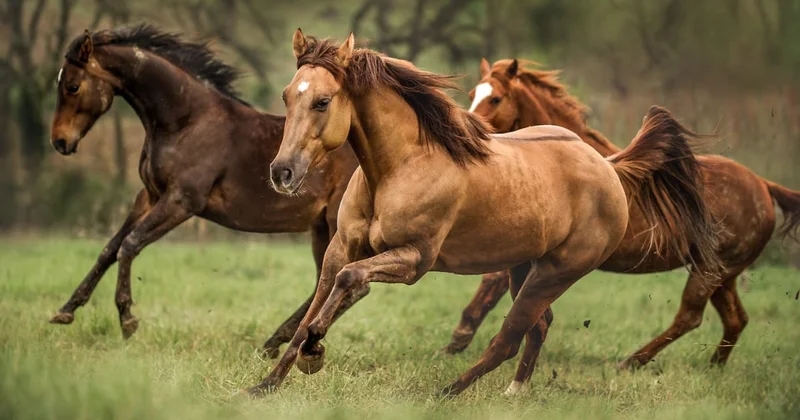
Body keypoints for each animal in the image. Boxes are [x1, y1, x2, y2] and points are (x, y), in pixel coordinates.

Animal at [47, 25, 362, 350]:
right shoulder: (149, 196)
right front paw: (65, 310)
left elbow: (129, 244)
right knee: (326, 282)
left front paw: (127, 319)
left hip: (335, 225)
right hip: (320, 229)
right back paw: (275, 343)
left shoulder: (182, 201)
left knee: (345, 285)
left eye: (72, 86)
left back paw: (282, 341)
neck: (186, 121)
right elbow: (109, 248)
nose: (59, 141)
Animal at [247, 30, 719, 397]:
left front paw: (314, 354)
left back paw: (447, 392)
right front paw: (266, 384)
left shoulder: (413, 260)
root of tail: (609, 166)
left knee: (509, 337)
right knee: (538, 327)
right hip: (521, 267)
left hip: (555, 272)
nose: (282, 172)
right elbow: (315, 307)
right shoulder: (341, 248)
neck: (401, 166)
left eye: (323, 102)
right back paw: (515, 393)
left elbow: (345, 284)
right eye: (287, 96)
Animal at [447, 58, 800, 370]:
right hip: (722, 274)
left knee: (690, 316)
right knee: (735, 319)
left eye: (495, 97)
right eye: (472, 93)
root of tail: (764, 185)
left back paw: (631, 362)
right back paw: (713, 367)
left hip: (710, 271)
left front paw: (459, 338)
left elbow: (494, 280)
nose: (466, 129)